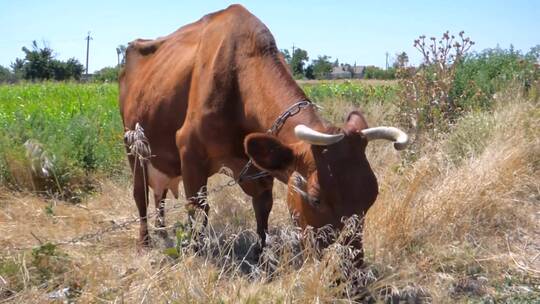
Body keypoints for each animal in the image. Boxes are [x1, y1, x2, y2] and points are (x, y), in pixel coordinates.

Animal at [118, 3, 404, 264]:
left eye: (372, 196)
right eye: (316, 199)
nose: (348, 268)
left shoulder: (259, 167)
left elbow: (263, 207)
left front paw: (260, 254)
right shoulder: (190, 152)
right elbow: (198, 207)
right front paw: (195, 253)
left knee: (160, 195)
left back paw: (161, 231)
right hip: (133, 147)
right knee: (141, 195)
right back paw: (144, 242)